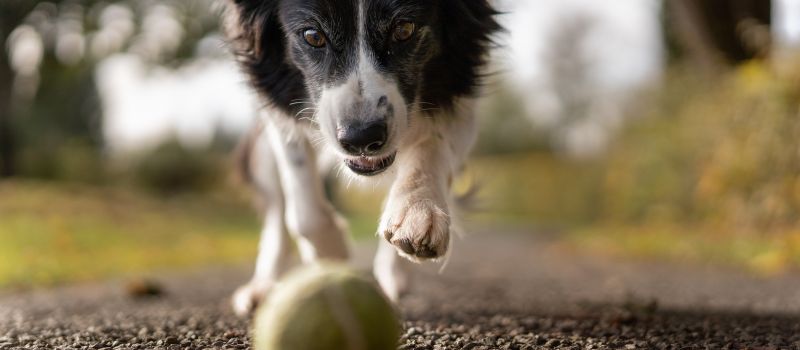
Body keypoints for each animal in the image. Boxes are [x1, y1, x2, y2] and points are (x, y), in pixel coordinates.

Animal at [225, 0, 500, 316]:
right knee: (276, 209)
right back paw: (262, 288)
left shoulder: (464, 73)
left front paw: (418, 213)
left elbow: (432, 143)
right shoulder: (275, 100)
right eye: (313, 36)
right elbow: (302, 206)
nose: (361, 139)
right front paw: (332, 254)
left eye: (404, 29)